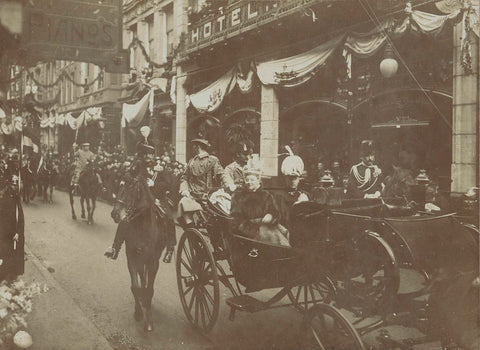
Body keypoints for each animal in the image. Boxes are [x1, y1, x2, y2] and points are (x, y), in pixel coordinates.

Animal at [111, 179, 169, 332]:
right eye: (120, 186)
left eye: (131, 188)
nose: (115, 214)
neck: (141, 226)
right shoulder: (131, 257)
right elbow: (135, 287)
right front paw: (138, 313)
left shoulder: (153, 262)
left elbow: (150, 289)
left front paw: (148, 320)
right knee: (142, 277)